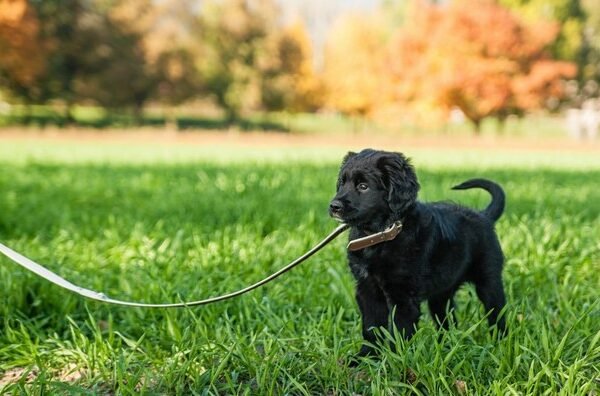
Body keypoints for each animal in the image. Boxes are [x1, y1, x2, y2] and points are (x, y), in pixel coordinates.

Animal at [328, 149, 506, 358]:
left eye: (363, 186)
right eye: (342, 183)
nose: (334, 206)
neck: (381, 235)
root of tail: (484, 216)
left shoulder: (403, 296)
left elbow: (399, 332)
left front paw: (396, 359)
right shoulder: (367, 289)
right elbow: (371, 327)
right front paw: (366, 357)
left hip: (489, 281)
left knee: (498, 314)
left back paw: (500, 345)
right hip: (441, 293)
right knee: (447, 321)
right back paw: (446, 347)